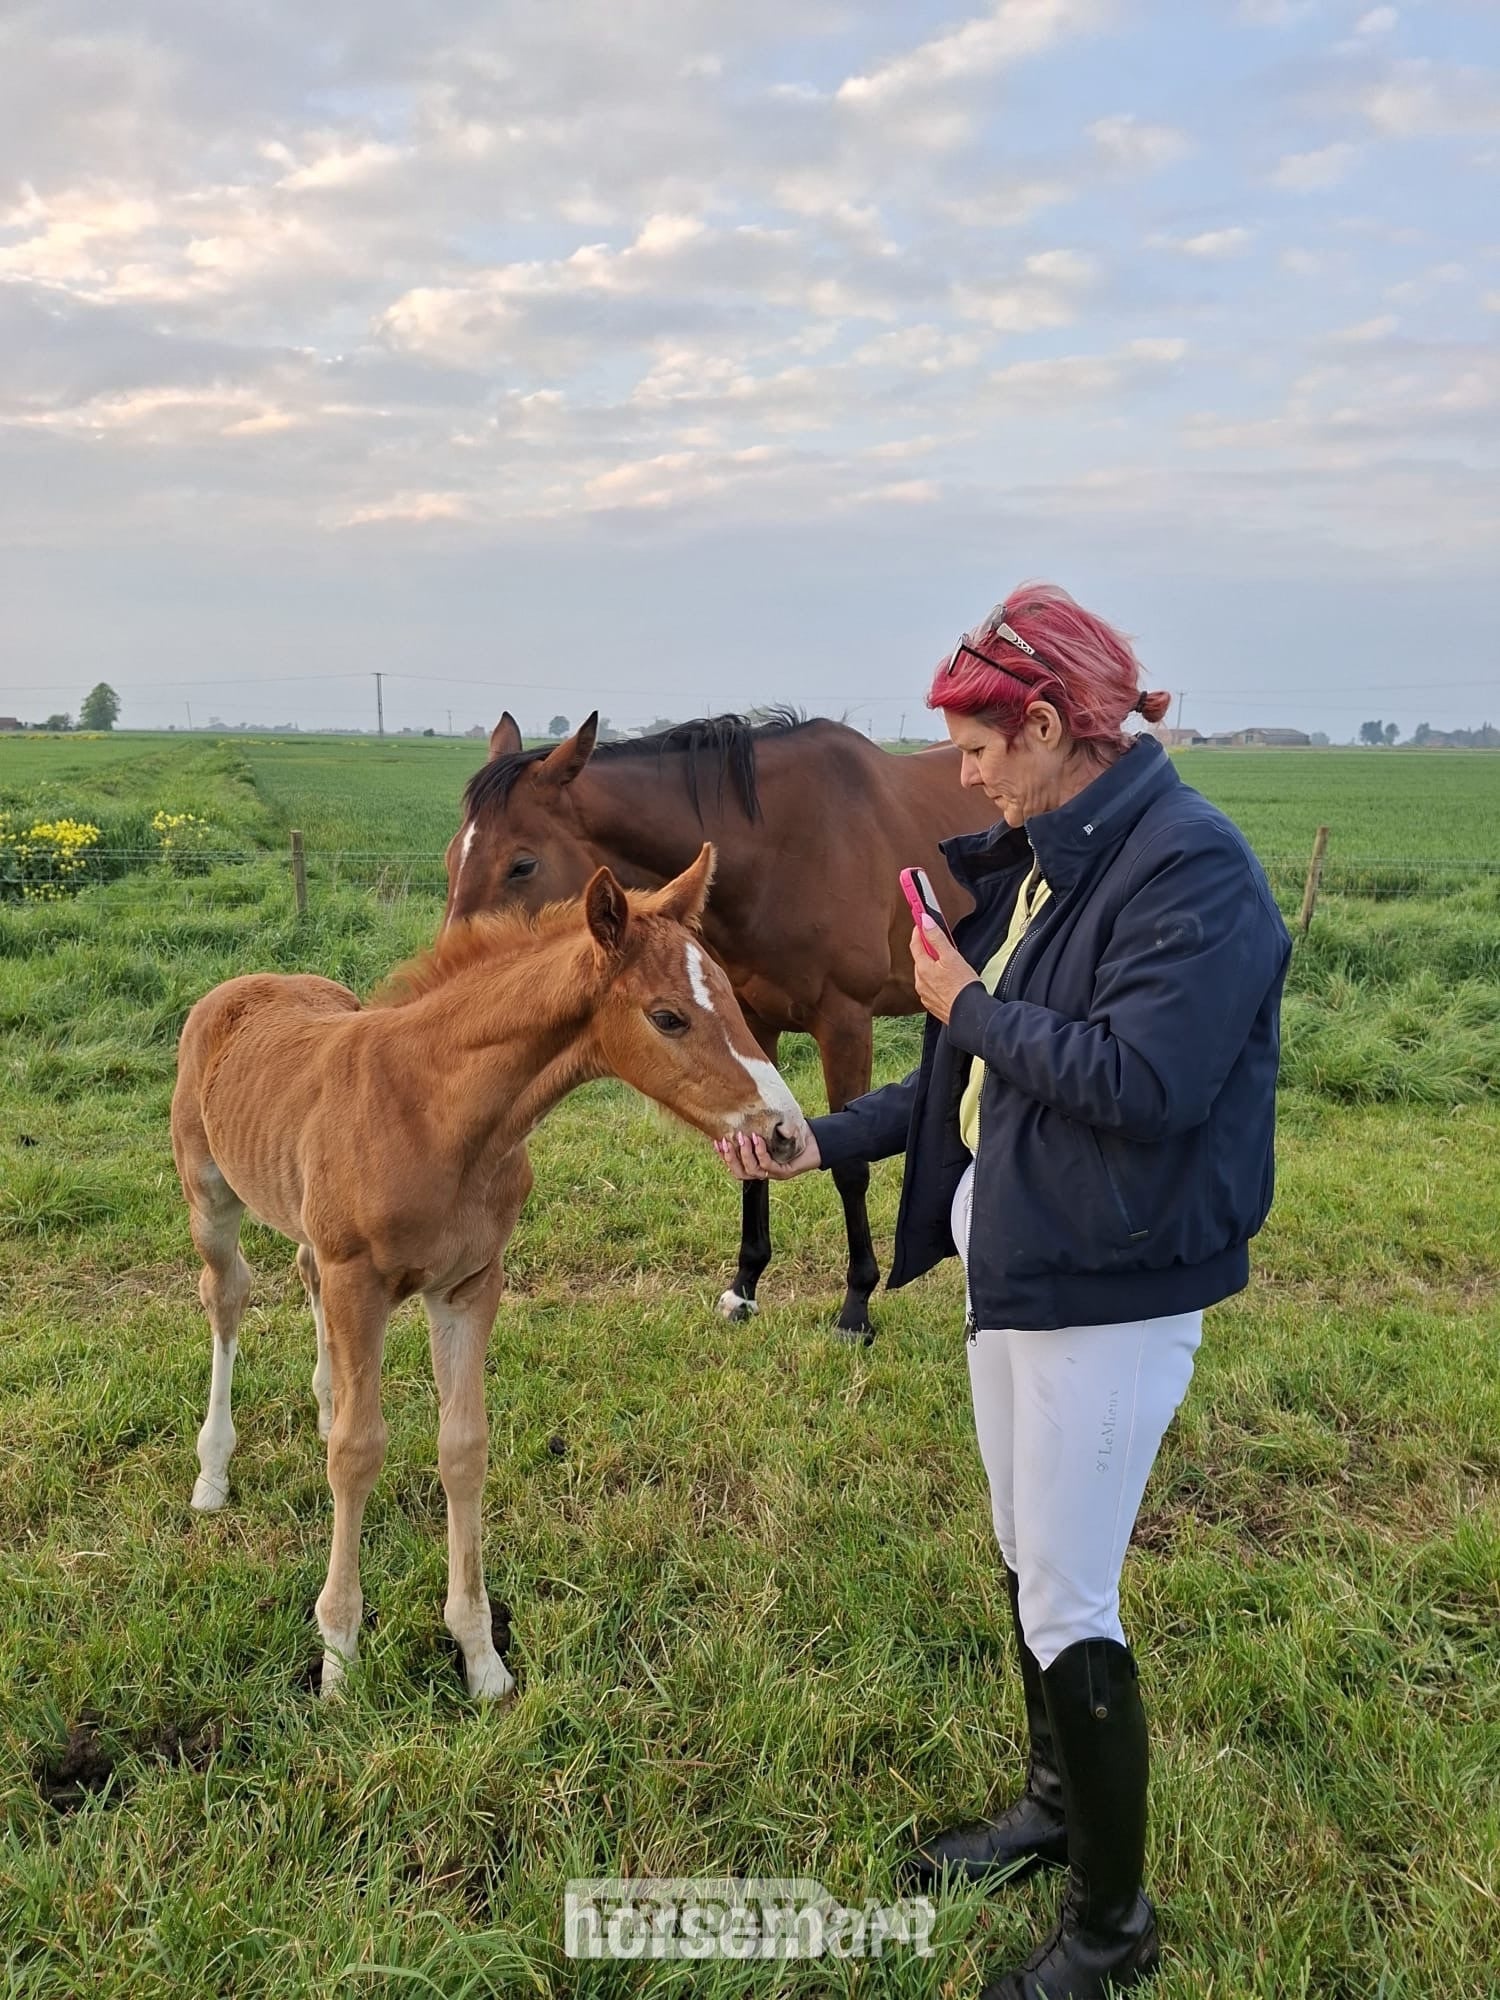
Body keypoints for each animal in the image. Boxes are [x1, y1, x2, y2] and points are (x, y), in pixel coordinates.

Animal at [171, 846, 808, 1700]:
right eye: (668, 1016)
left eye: (734, 999)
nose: (786, 1132)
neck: (435, 1112)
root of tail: (242, 985)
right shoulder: (359, 1281)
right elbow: (359, 1454)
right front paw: (338, 1657)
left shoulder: (469, 1287)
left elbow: (463, 1448)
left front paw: (481, 1658)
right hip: (210, 1197)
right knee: (228, 1297)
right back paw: (213, 1474)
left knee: (302, 1277)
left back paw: (325, 1401)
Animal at [442, 710, 994, 1339]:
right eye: (451, 858)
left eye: (522, 864)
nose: (459, 983)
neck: (785, 849)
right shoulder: (751, 1024)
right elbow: (753, 1149)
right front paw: (744, 1287)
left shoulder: (847, 1024)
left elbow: (851, 1167)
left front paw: (856, 1307)